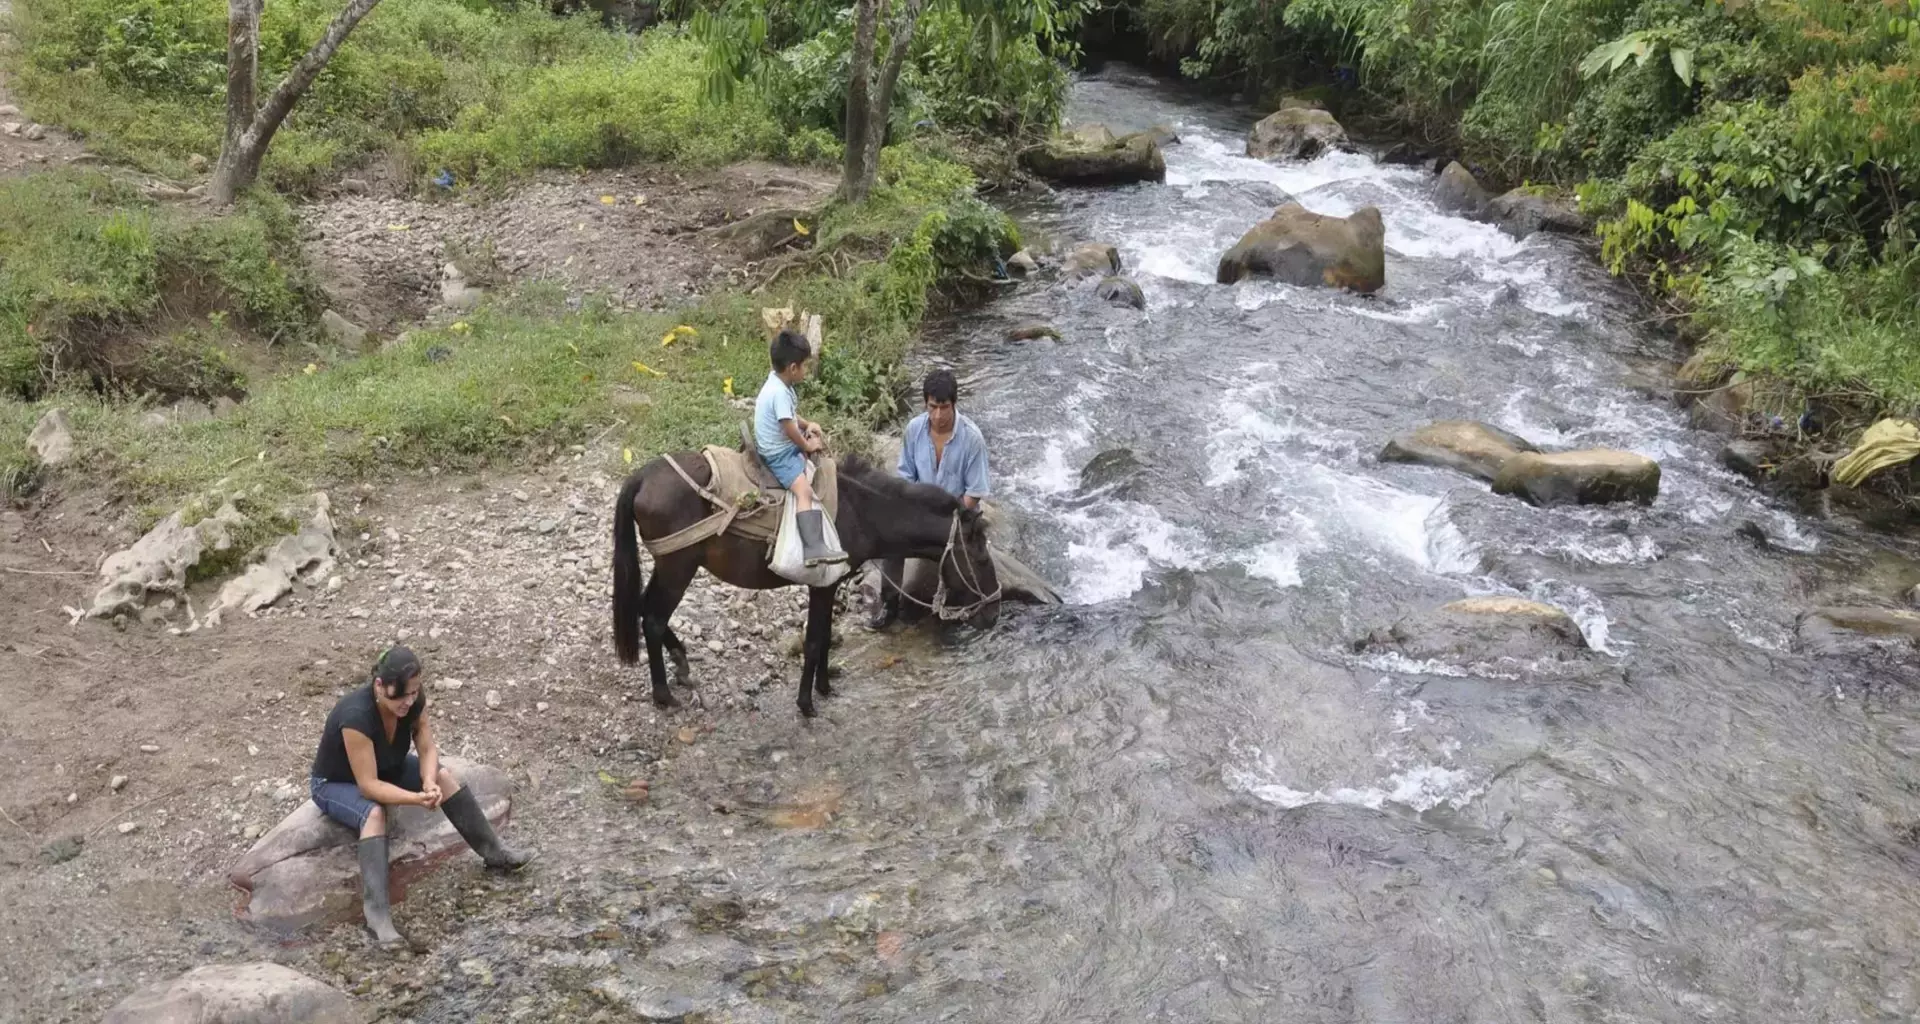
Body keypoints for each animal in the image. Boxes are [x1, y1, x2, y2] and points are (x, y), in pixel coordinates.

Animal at [614, 451, 1006, 714]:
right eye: (982, 558)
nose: (994, 612)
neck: (861, 511)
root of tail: (642, 477)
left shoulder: (829, 586)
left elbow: (827, 637)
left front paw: (825, 688)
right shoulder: (823, 585)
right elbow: (816, 640)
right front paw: (807, 702)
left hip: (670, 566)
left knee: (643, 607)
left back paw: (681, 665)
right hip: (678, 567)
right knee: (653, 618)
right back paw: (664, 695)